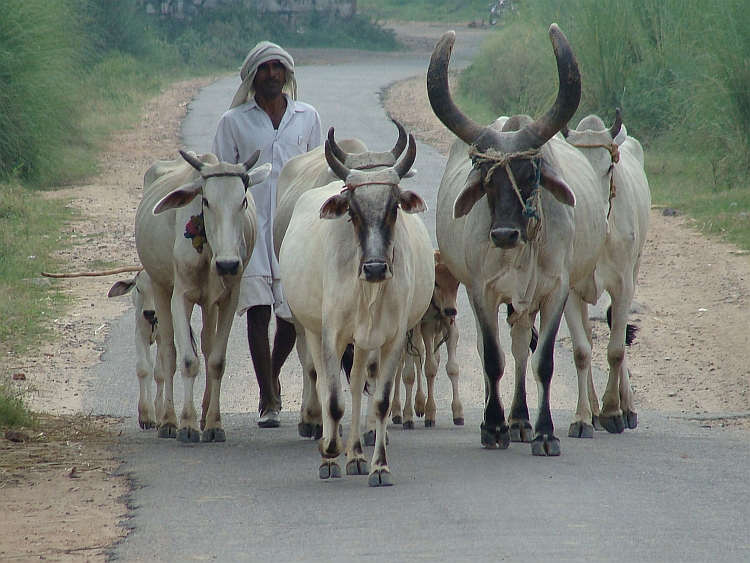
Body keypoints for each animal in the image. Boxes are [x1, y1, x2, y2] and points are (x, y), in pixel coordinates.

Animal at [106, 270, 162, 430]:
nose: (149, 312)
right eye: (138, 288)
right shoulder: (140, 333)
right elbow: (143, 370)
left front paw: (161, 414)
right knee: (149, 365)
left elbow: (160, 373)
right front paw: (145, 415)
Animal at [137, 150, 272, 446]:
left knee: (208, 346)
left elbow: (217, 361)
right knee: (168, 353)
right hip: (159, 286)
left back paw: (205, 413)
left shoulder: (229, 298)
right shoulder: (181, 297)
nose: (228, 264)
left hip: (209, 304)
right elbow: (188, 361)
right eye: (206, 201)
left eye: (243, 200)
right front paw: (186, 425)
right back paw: (168, 421)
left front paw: (213, 424)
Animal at [280, 131, 434, 484]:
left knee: (355, 384)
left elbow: (379, 402)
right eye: (353, 211)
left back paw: (356, 455)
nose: (375, 268)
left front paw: (378, 465)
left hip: (363, 342)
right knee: (323, 383)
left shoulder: (392, 339)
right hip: (312, 329)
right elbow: (333, 400)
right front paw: (329, 452)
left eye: (394, 208)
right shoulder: (332, 334)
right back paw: (331, 450)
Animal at [428, 27, 612, 458]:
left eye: (531, 172)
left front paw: (545, 433)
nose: (504, 235)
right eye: (484, 176)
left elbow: (542, 361)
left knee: (519, 346)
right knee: (497, 349)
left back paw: (522, 421)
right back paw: (506, 421)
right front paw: (493, 427)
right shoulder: (482, 291)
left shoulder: (557, 290)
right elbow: (493, 359)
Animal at [564, 109, 652, 436]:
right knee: (589, 341)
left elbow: (616, 350)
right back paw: (593, 409)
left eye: (608, 168)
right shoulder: (569, 291)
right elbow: (581, 351)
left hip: (636, 267)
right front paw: (582, 417)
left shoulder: (623, 285)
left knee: (618, 332)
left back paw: (626, 408)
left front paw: (614, 410)